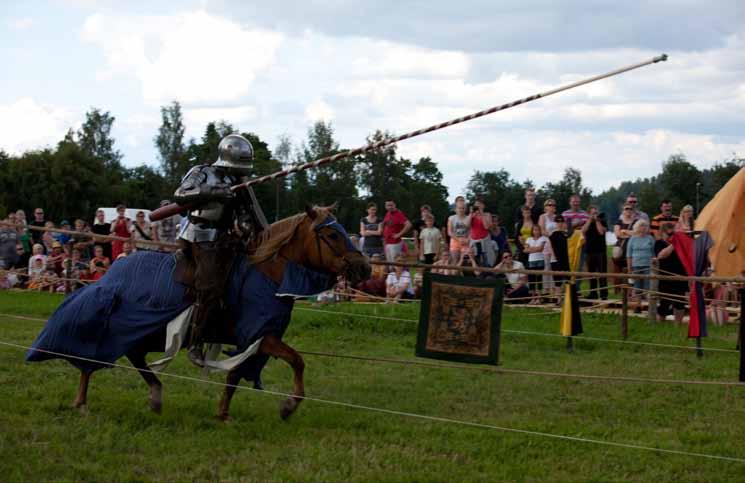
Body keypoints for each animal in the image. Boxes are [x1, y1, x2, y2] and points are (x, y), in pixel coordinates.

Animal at [29, 206, 372, 422]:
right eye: (332, 236)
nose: (365, 268)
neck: (270, 272)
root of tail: (113, 271)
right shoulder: (263, 335)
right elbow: (297, 361)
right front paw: (288, 406)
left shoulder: (256, 339)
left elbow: (235, 375)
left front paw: (223, 413)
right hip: (125, 323)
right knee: (95, 352)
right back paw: (82, 401)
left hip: (148, 333)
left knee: (134, 356)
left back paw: (154, 395)